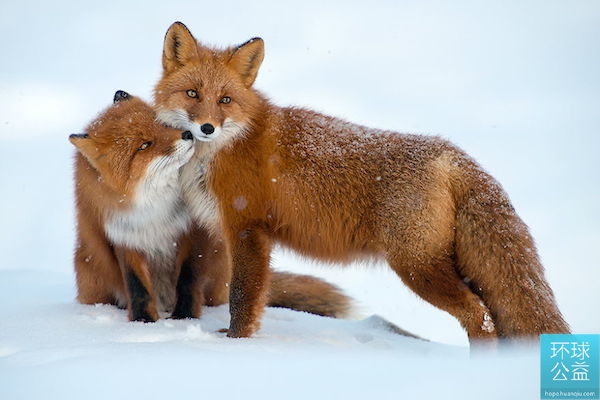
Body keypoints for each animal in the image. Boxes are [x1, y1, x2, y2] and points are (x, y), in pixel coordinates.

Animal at [69, 90, 352, 322]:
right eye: (144, 145)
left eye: (162, 124)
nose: (187, 134)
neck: (156, 209)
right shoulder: (126, 237)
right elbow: (138, 288)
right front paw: (144, 323)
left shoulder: (194, 232)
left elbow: (189, 279)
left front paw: (184, 319)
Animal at [152, 20, 568, 342]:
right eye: (192, 94)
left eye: (225, 100)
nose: (206, 128)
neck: (226, 147)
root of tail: (450, 153)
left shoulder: (246, 227)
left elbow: (243, 297)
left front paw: (236, 344)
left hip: (417, 267)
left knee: (478, 315)